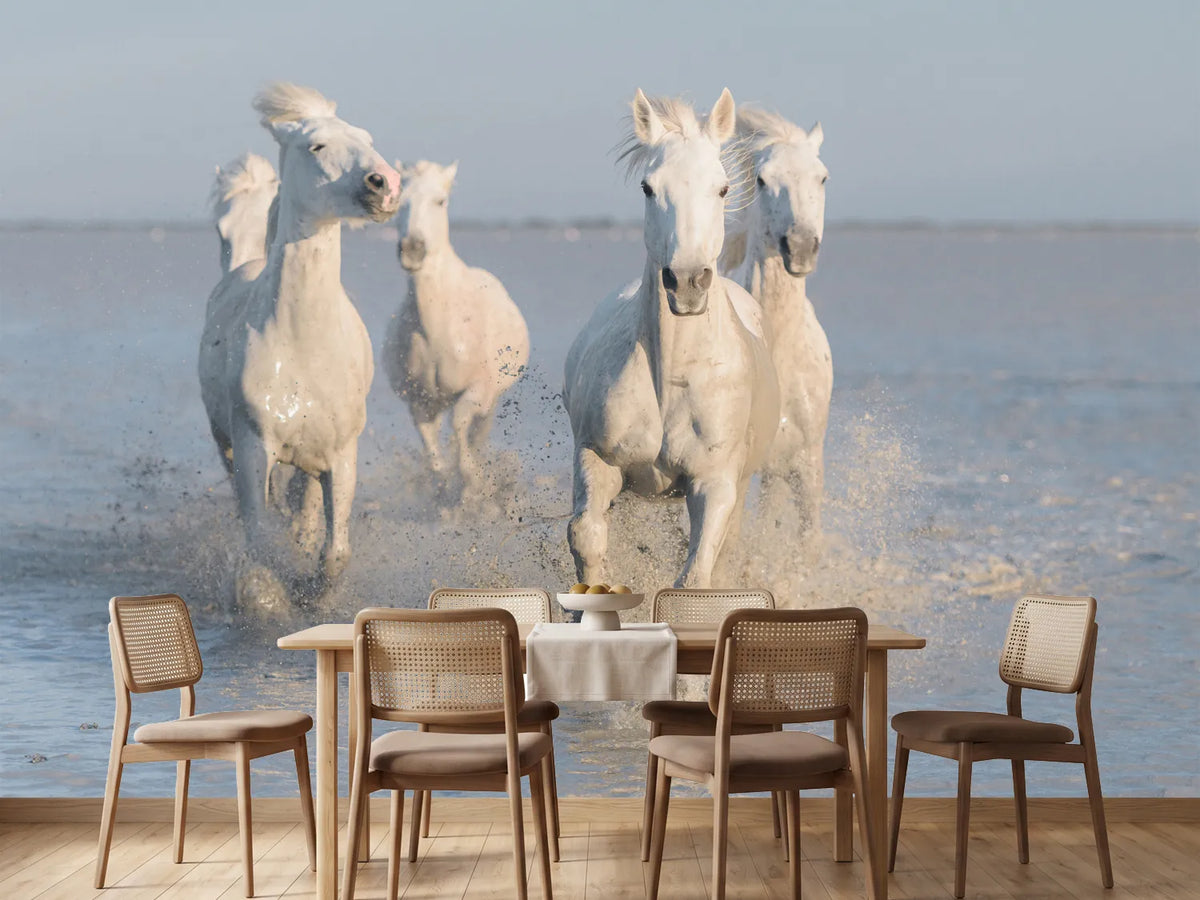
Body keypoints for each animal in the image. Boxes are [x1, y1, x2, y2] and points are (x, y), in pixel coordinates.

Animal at [198, 82, 400, 611]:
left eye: (366, 138)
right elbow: (260, 543)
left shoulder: (340, 457)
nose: (386, 184)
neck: (303, 345)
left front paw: (311, 593)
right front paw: (269, 595)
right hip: (225, 442)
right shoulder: (253, 448)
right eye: (317, 146)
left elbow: (334, 551)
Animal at [382, 160, 530, 500]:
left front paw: (472, 482)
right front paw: (443, 487)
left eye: (440, 201)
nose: (412, 250)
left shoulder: (479, 390)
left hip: (492, 398)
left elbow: (462, 425)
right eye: (398, 201)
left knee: (477, 432)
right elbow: (432, 451)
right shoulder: (420, 400)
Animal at [563, 89, 780, 589]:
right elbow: (586, 535)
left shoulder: (714, 484)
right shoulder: (597, 459)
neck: (674, 377)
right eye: (648, 187)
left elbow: (695, 575)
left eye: (722, 188)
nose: (686, 282)